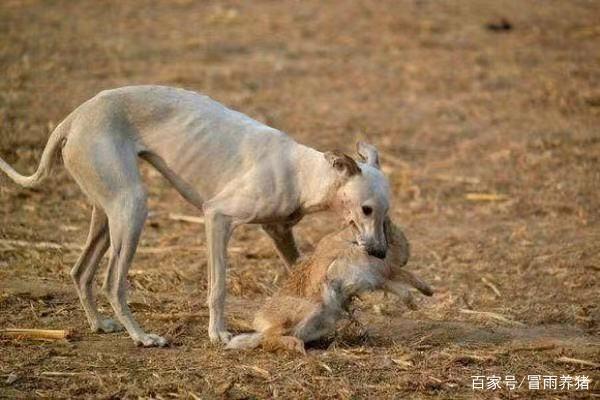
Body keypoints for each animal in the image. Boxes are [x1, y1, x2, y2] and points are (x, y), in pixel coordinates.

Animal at [0, 85, 392, 346]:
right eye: (366, 209)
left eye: (386, 215)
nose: (379, 252)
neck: (304, 172)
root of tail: (72, 119)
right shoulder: (217, 218)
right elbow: (218, 286)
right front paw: (218, 333)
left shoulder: (279, 232)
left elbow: (305, 275)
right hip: (132, 208)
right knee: (113, 282)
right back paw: (142, 336)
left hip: (107, 213)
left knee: (80, 272)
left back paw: (99, 324)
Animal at [225, 219, 432, 354]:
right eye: (393, 234)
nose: (406, 257)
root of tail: (260, 322)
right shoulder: (382, 271)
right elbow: (406, 276)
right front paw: (428, 292)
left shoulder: (378, 277)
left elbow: (400, 287)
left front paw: (416, 303)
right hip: (306, 310)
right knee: (269, 339)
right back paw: (295, 346)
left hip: (322, 322)